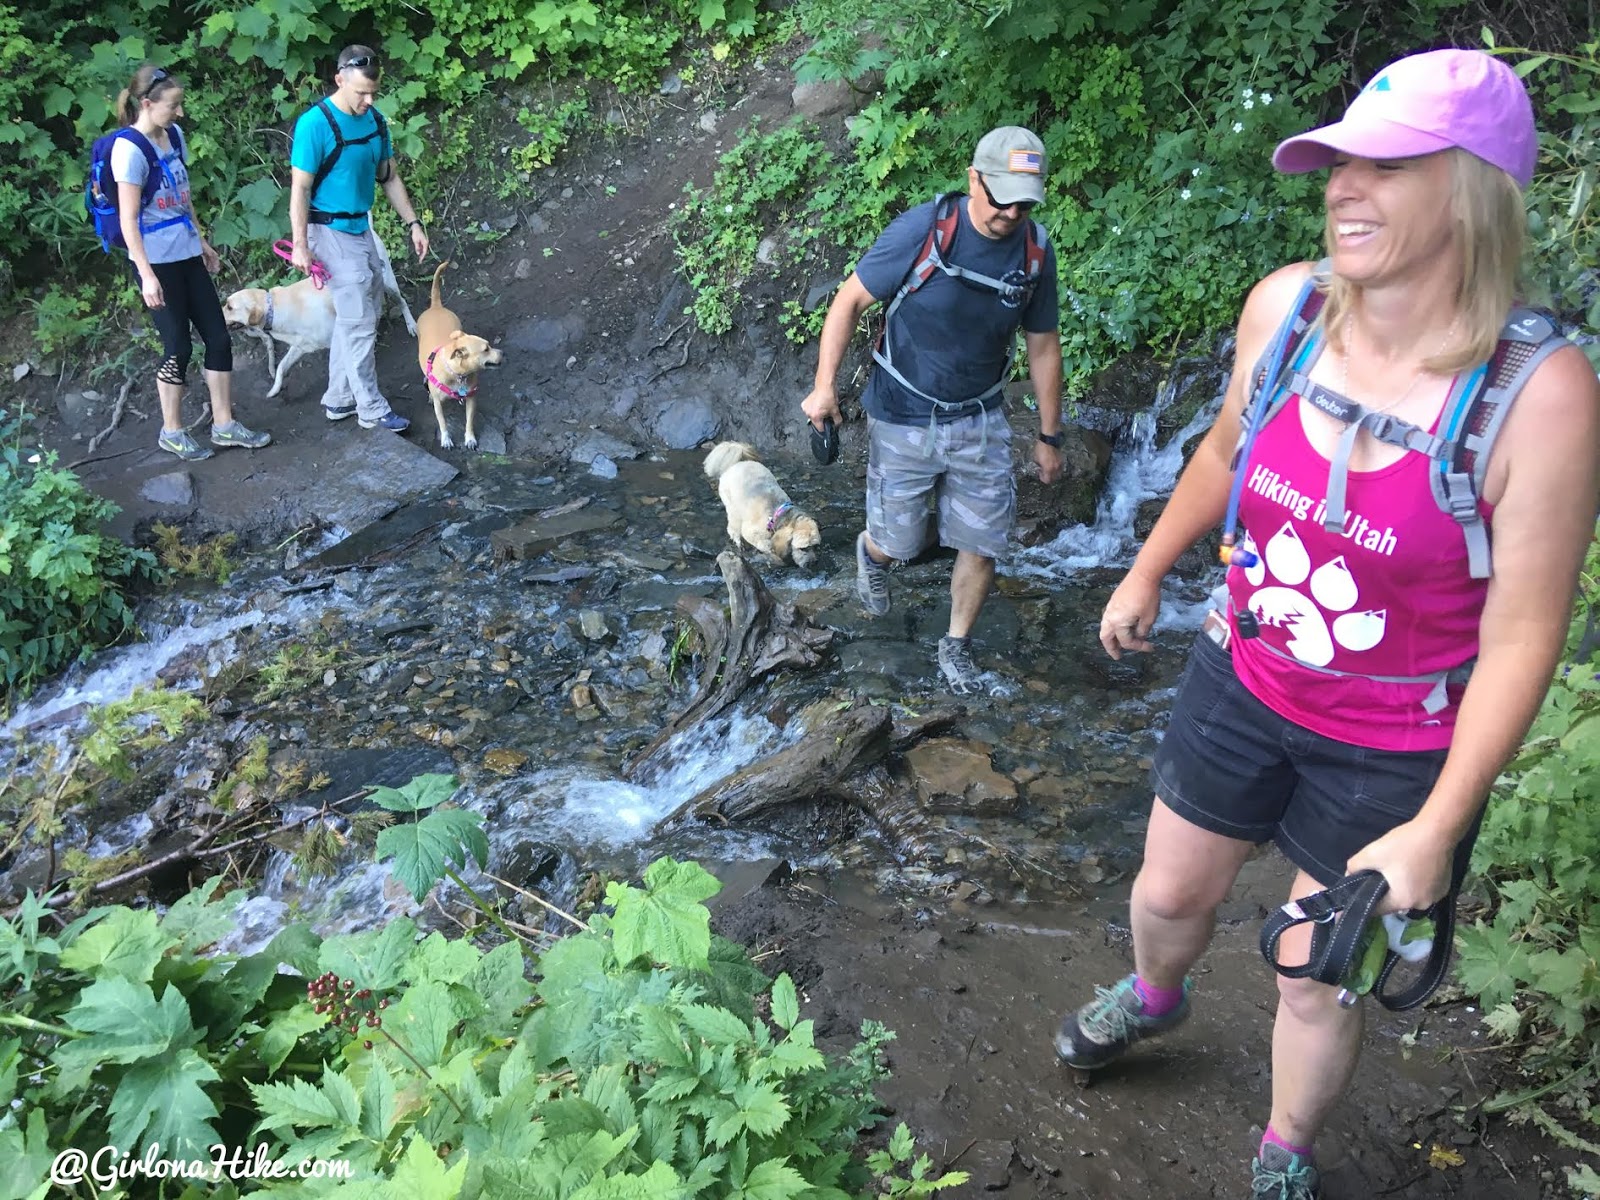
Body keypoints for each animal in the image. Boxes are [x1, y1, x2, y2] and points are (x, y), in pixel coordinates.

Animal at [220, 225, 416, 395]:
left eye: (229, 307)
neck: (274, 309)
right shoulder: (299, 346)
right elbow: (281, 367)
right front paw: (274, 390)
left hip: (389, 283)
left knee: (402, 301)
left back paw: (411, 325)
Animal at [416, 262, 502, 451]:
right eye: (486, 349)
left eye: (489, 345)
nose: (502, 353)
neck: (457, 374)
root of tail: (436, 306)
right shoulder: (439, 405)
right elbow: (442, 422)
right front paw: (446, 439)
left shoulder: (471, 398)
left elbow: (469, 421)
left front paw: (469, 439)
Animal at [704, 441, 825, 572]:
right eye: (803, 548)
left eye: (816, 547)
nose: (814, 563)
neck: (779, 515)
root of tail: (736, 464)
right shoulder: (751, 531)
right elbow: (765, 545)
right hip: (732, 508)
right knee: (733, 527)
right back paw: (738, 541)